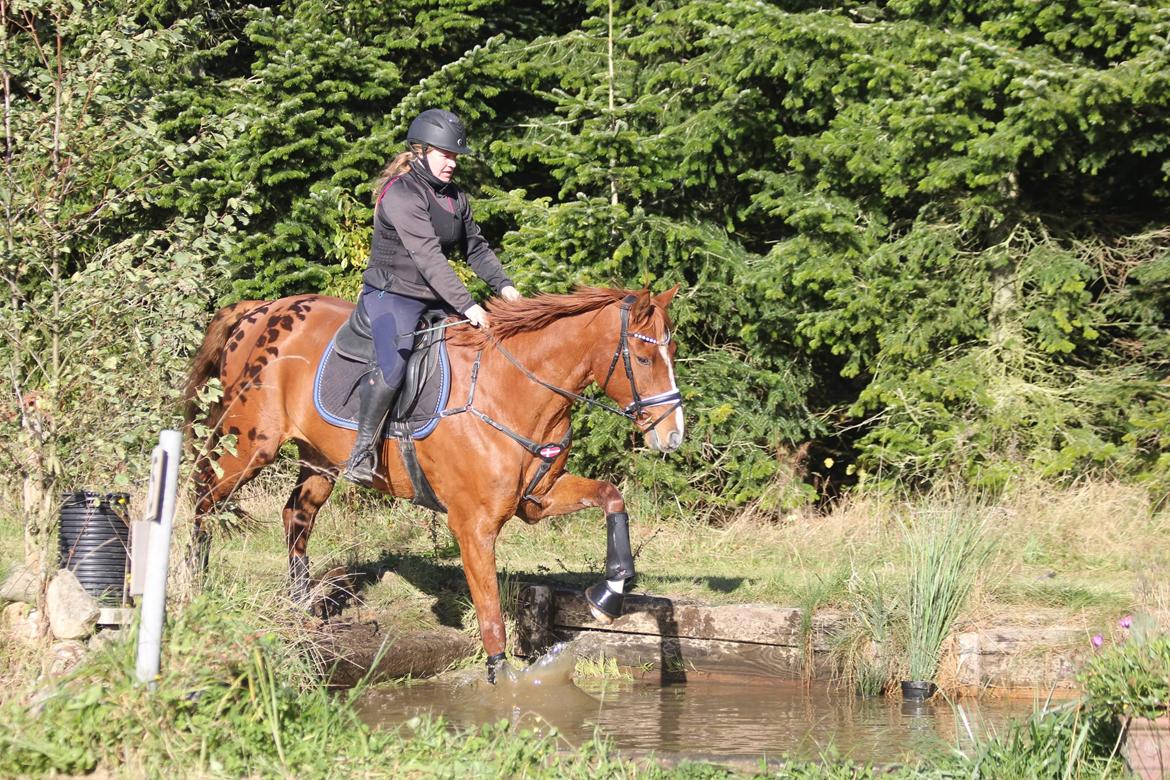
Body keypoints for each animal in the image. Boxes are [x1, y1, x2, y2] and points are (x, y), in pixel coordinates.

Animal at [182, 285, 683, 678]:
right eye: (643, 358)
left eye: (672, 354)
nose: (673, 435)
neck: (513, 389)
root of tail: (260, 310)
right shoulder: (474, 525)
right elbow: (490, 615)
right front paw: (503, 684)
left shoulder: (539, 498)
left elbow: (612, 497)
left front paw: (609, 593)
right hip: (249, 444)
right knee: (203, 497)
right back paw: (194, 584)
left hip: (320, 459)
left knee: (295, 515)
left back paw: (302, 606)